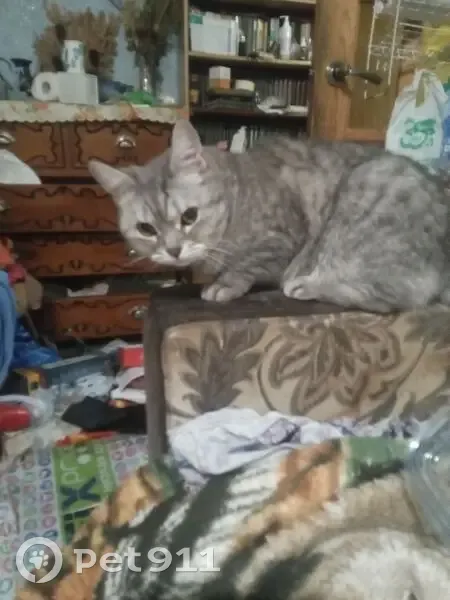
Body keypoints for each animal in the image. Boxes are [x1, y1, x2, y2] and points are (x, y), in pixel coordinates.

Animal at [88, 119, 450, 312]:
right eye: (146, 229)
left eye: (189, 216)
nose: (174, 250)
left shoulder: (284, 239)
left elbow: (249, 263)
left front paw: (225, 283)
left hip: (367, 191)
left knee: (393, 296)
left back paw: (308, 285)